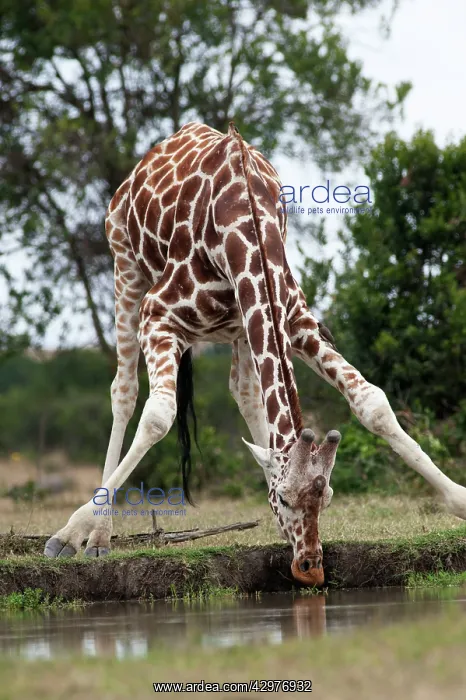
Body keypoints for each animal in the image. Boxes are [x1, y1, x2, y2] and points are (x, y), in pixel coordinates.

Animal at [44, 122, 466, 587]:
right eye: (283, 498)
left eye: (329, 496)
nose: (310, 568)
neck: (241, 224)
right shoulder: (158, 316)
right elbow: (156, 416)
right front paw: (69, 533)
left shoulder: (294, 320)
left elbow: (372, 402)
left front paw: (460, 498)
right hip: (125, 266)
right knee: (123, 392)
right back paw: (99, 536)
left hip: (242, 326)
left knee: (244, 393)